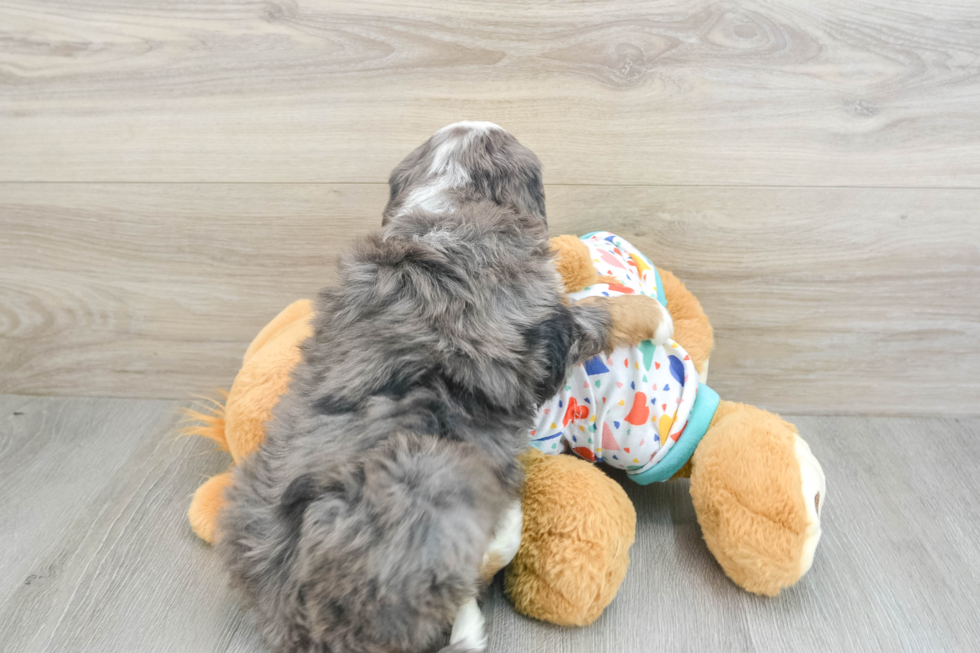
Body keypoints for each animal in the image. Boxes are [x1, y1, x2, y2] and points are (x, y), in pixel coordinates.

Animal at [217, 123, 668, 652]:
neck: (447, 203)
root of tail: (316, 627)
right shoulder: (540, 332)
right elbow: (595, 315)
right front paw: (654, 315)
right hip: (429, 483)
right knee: (469, 580)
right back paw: (505, 527)